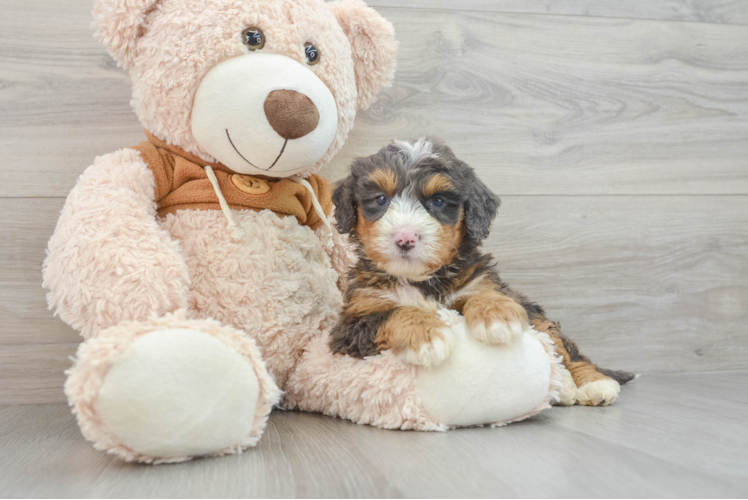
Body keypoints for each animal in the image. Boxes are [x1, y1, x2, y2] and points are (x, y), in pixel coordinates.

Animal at [330, 138, 636, 406]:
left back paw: (591, 384)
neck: (423, 281)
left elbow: (484, 293)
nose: (405, 238)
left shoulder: (479, 282)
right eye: (381, 199)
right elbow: (396, 311)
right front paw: (427, 337)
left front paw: (497, 316)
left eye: (438, 202)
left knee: (562, 347)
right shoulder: (352, 324)